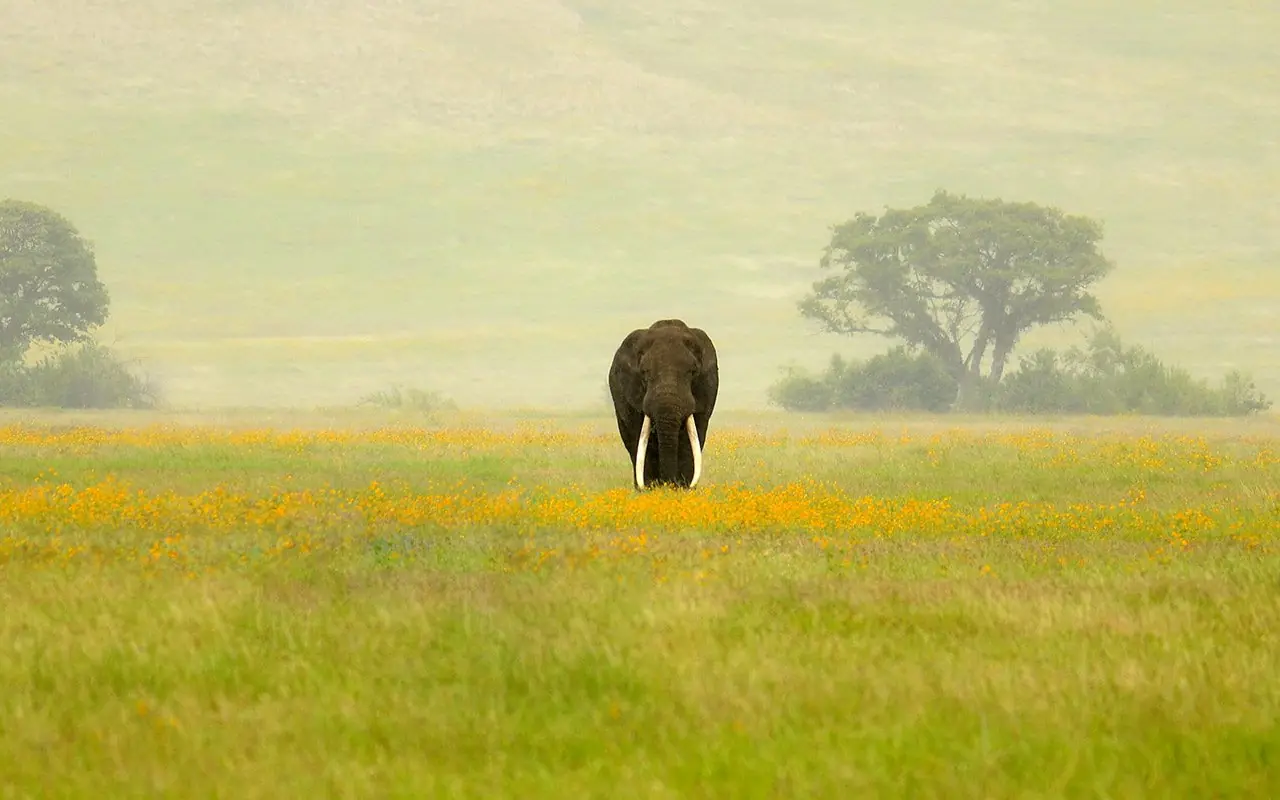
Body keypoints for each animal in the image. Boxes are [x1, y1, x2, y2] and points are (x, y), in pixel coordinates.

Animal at [608, 319, 719, 490]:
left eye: (692, 373)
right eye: (644, 373)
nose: (668, 483)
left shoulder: (706, 393)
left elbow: (690, 441)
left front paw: (682, 489)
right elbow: (640, 440)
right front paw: (650, 489)